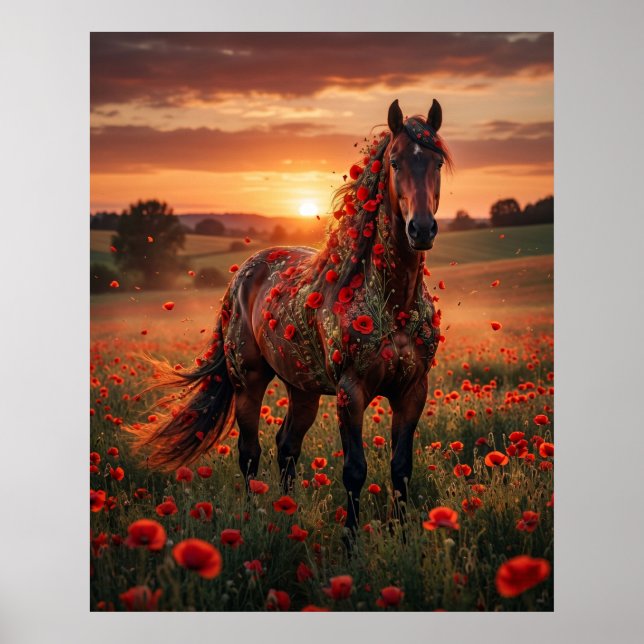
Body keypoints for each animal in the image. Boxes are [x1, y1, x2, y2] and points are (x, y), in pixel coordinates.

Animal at [132, 99, 453, 537]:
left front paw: (403, 539)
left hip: (303, 390)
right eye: (396, 162)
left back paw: (287, 513)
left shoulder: (413, 391)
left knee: (287, 446)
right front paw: (351, 543)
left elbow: (401, 468)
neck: (393, 304)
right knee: (250, 452)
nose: (421, 229)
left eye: (436, 162)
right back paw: (255, 518)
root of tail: (243, 274)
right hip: (248, 383)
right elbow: (354, 471)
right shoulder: (351, 393)